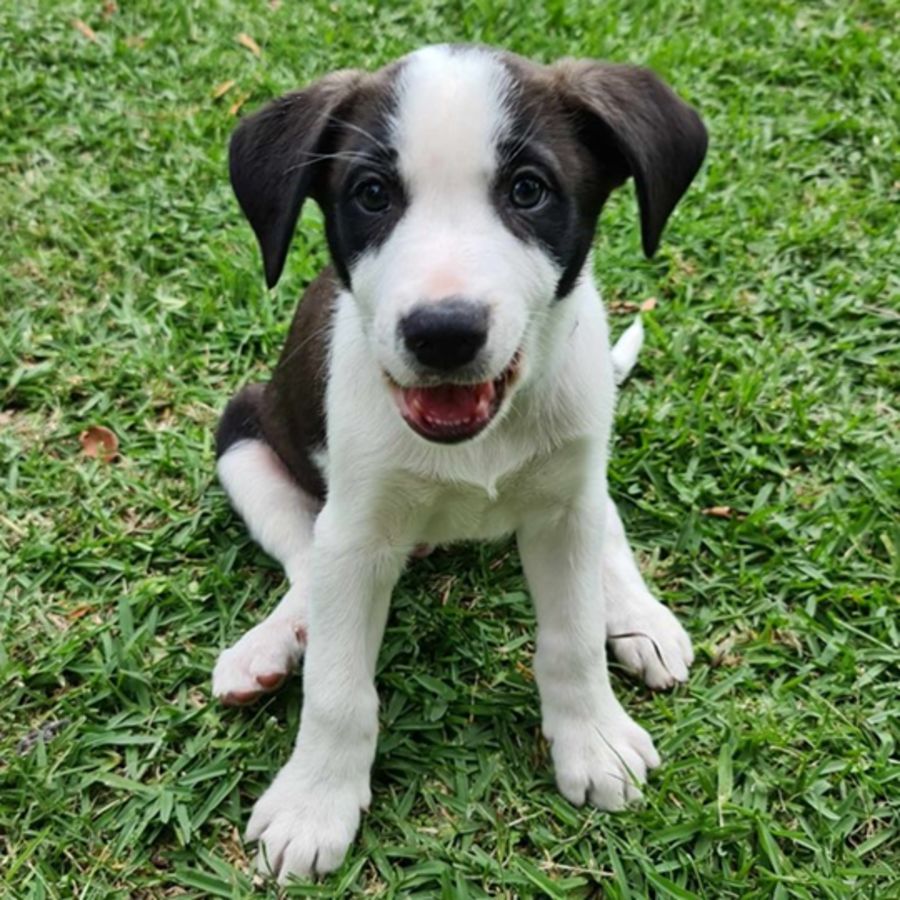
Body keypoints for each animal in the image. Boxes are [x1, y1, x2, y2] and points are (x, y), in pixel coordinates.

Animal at [214, 45, 708, 884]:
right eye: (371, 194)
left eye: (529, 190)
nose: (443, 333)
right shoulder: (355, 529)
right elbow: (337, 686)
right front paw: (315, 801)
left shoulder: (563, 511)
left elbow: (572, 638)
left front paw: (593, 738)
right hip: (244, 434)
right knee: (305, 563)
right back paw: (273, 643)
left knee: (606, 524)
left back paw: (638, 616)